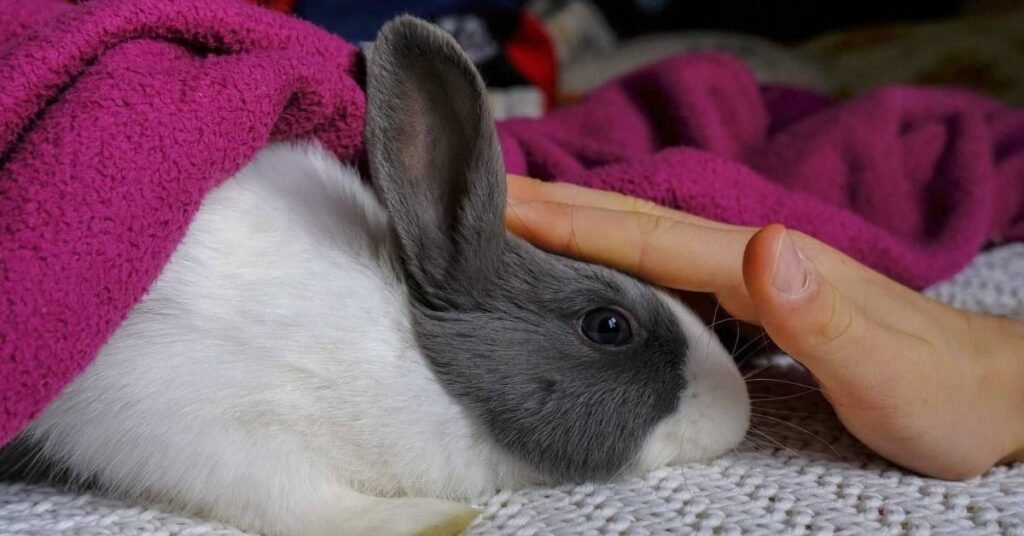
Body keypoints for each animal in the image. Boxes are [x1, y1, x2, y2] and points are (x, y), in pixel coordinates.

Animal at [6, 16, 750, 536]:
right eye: (608, 326)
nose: (739, 410)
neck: (423, 364)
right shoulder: (180, 419)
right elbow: (296, 502)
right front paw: (429, 517)